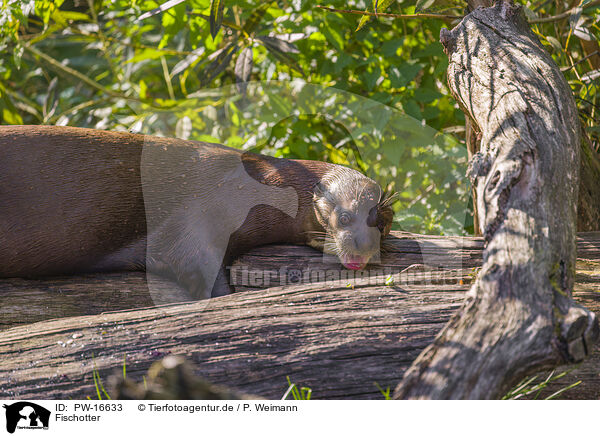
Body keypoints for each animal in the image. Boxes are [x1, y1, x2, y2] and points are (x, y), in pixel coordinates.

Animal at [0, 124, 396, 298]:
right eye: (344, 217)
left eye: (381, 223)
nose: (362, 249)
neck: (264, 184)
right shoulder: (202, 213)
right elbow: (194, 263)